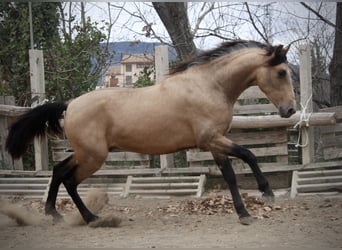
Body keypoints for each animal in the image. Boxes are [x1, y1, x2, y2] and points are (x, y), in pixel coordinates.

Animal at [5, 40, 296, 226]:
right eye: (281, 72)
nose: (290, 110)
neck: (209, 86)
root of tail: (70, 105)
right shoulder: (211, 140)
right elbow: (249, 154)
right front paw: (266, 192)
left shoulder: (216, 144)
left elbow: (231, 175)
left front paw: (243, 213)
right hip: (92, 156)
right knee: (69, 179)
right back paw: (88, 218)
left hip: (85, 154)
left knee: (58, 172)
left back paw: (58, 214)